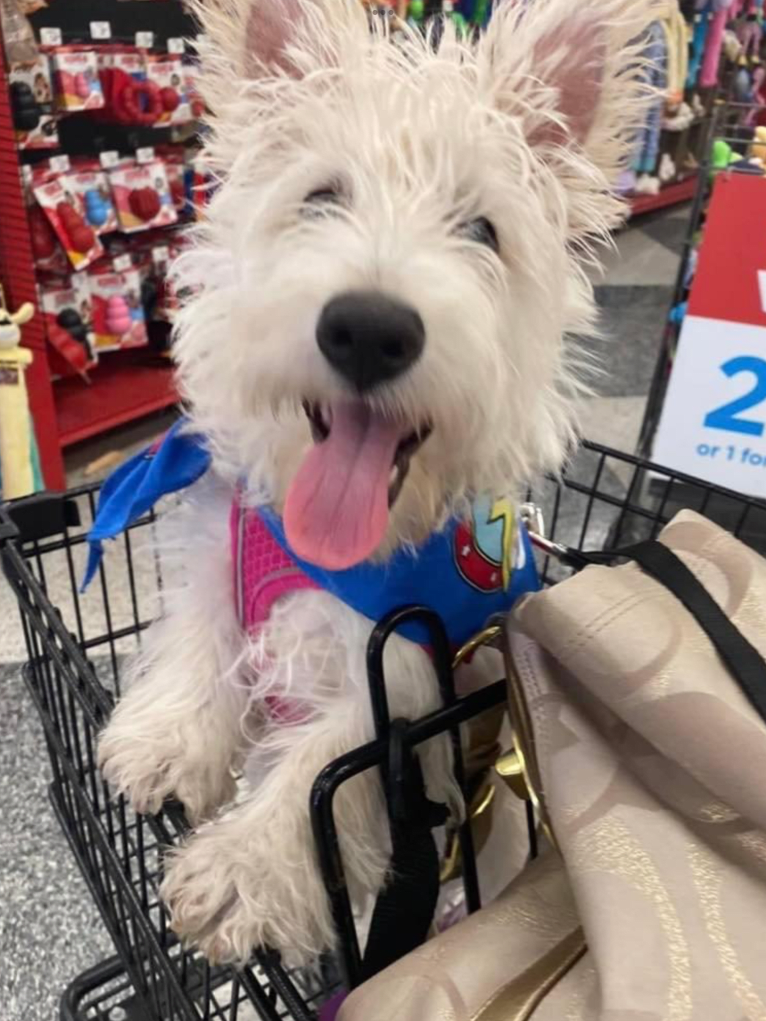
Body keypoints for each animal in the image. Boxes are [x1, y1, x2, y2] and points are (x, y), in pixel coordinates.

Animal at [97, 0, 653, 971]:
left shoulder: (408, 663)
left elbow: (331, 756)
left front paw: (244, 866)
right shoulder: (223, 537)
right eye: (320, 196)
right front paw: (166, 741)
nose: (368, 328)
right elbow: (198, 627)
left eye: (483, 231)